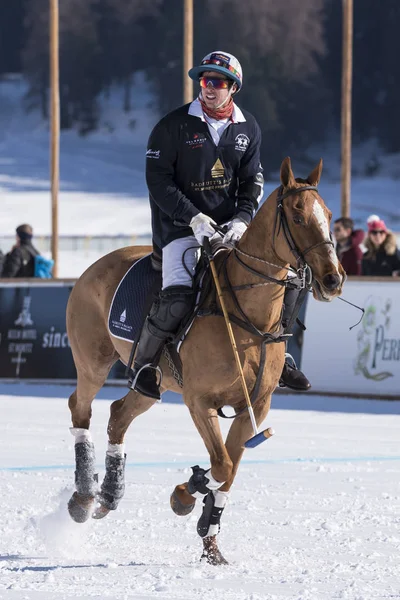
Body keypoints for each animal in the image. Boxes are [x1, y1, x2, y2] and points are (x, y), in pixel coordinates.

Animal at [67, 157, 346, 564]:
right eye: (297, 216)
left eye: (327, 215)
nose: (333, 279)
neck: (249, 316)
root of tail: (93, 266)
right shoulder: (199, 402)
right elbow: (222, 463)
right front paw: (184, 495)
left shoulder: (255, 407)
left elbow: (228, 470)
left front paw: (210, 543)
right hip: (92, 361)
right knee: (80, 408)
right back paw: (84, 497)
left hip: (154, 382)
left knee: (118, 413)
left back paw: (109, 496)